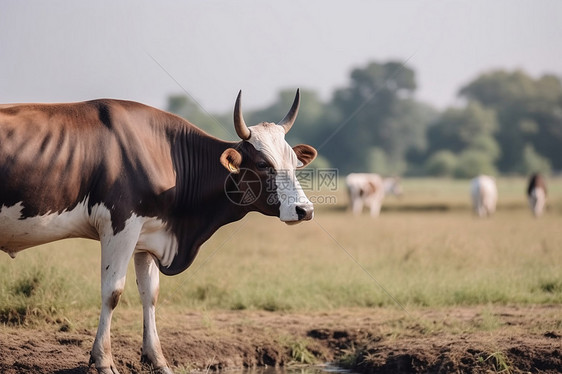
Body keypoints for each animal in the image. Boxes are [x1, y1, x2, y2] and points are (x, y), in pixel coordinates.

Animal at [0, 91, 316, 374]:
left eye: (294, 163)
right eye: (263, 164)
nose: (304, 209)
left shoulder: (148, 234)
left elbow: (149, 294)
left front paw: (157, 359)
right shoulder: (120, 225)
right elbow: (112, 292)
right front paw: (104, 360)